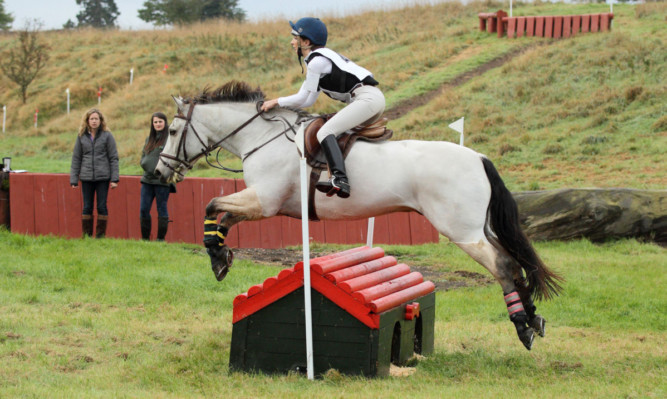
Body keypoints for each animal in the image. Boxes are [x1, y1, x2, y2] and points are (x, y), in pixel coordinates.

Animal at [157, 80, 564, 350]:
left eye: (173, 130)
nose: (160, 171)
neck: (261, 138)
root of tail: (477, 156)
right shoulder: (265, 204)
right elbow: (222, 216)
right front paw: (220, 256)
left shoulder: (265, 201)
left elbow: (212, 205)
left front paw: (216, 255)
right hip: (478, 228)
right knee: (515, 262)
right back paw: (534, 318)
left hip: (462, 231)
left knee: (503, 265)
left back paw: (523, 327)